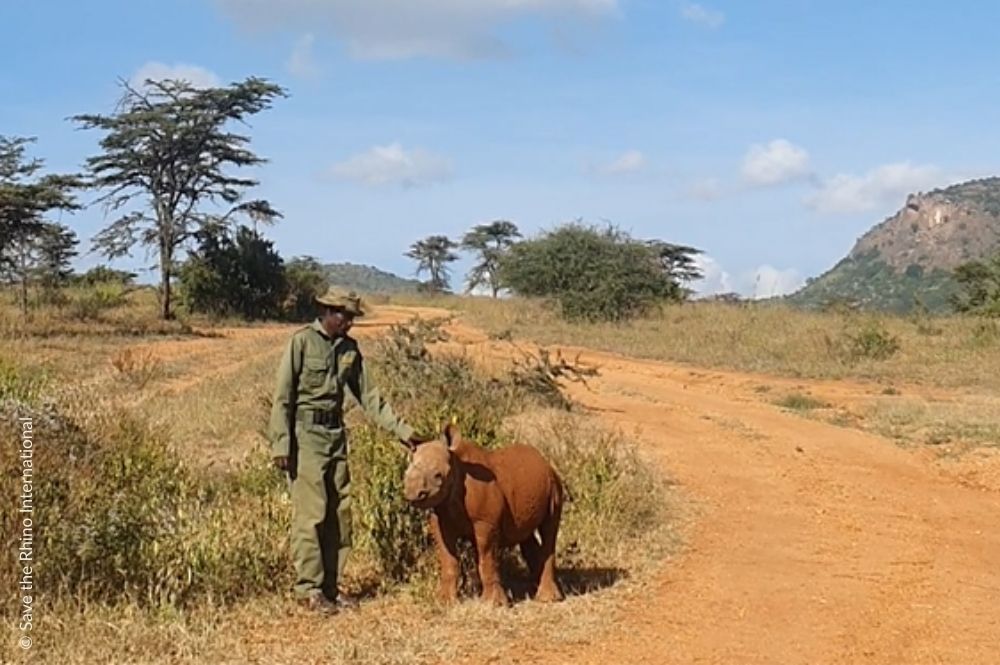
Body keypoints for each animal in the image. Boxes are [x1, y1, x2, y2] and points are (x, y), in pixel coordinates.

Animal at [404, 422, 564, 604]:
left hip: (555, 484)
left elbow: (486, 557)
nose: (412, 493)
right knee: (525, 532)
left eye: (438, 475)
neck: (456, 465)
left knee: (549, 528)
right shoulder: (440, 517)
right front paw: (444, 601)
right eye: (406, 473)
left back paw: (548, 599)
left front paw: (494, 604)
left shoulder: (485, 521)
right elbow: (447, 557)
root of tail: (545, 461)